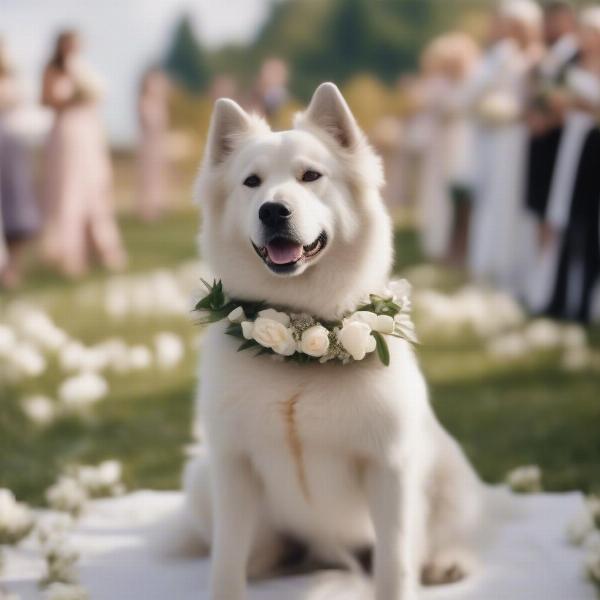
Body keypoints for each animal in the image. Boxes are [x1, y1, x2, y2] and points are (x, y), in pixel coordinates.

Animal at [182, 83, 482, 600]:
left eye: (311, 176)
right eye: (251, 182)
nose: (273, 210)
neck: (300, 345)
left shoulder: (390, 467)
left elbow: (394, 567)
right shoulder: (232, 464)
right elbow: (226, 564)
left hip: (451, 473)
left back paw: (447, 563)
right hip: (202, 479)